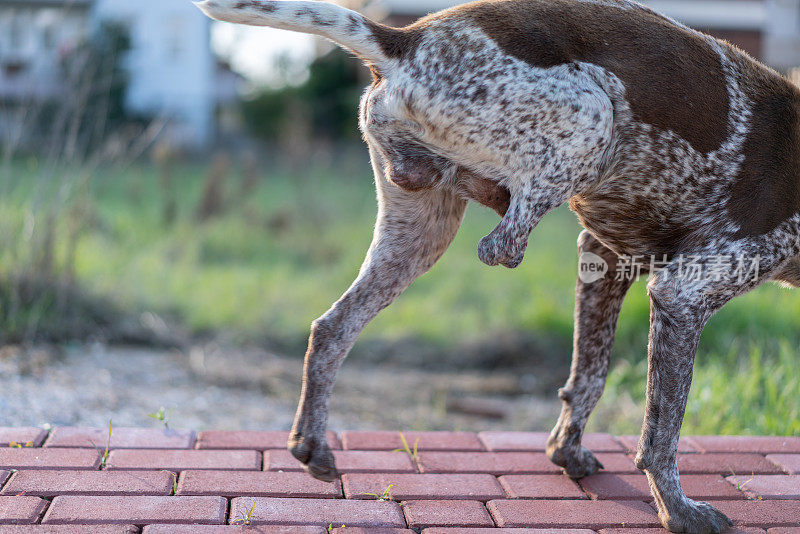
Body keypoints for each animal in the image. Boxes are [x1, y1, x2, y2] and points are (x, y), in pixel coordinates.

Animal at [195, 2, 800, 532]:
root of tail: (406, 39)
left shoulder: (603, 259)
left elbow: (590, 375)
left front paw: (567, 452)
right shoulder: (682, 294)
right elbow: (662, 430)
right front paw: (677, 510)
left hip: (417, 235)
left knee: (331, 328)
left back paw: (312, 445)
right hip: (593, 117)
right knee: (501, 242)